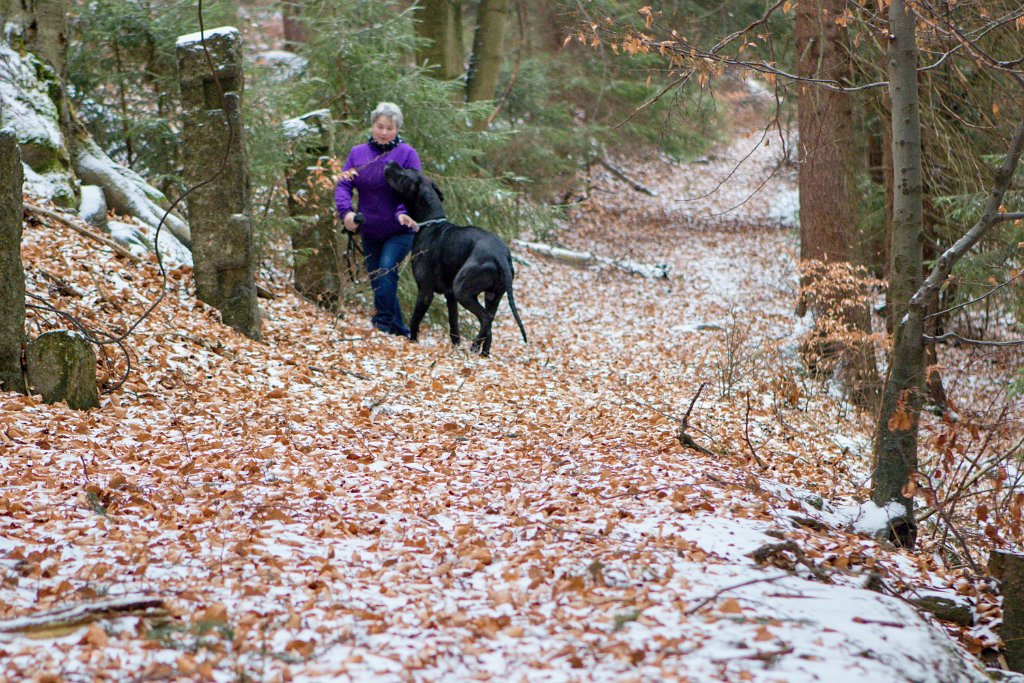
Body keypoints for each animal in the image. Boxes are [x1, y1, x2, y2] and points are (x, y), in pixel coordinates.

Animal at [385, 162, 528, 356]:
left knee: (486, 318)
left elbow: (415, 320)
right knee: (489, 321)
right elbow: (454, 325)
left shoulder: (425, 291)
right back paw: (484, 353)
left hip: (463, 288)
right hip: (492, 295)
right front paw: (456, 347)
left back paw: (474, 346)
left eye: (405, 173)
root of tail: (501, 255)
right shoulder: (450, 295)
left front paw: (412, 342)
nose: (390, 162)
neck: (430, 223)